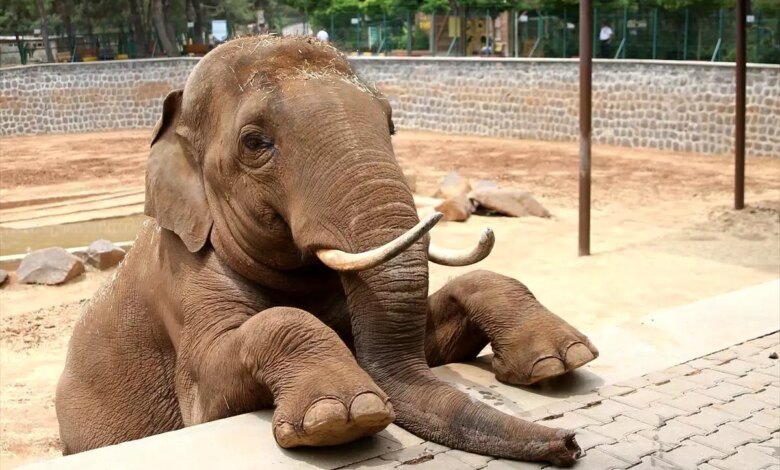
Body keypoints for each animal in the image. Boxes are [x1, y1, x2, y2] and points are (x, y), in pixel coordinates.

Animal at [55, 35, 598, 467]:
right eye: (255, 143)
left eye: (391, 125)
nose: (569, 443)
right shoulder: (182, 282)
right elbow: (210, 393)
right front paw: (342, 417)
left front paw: (562, 359)